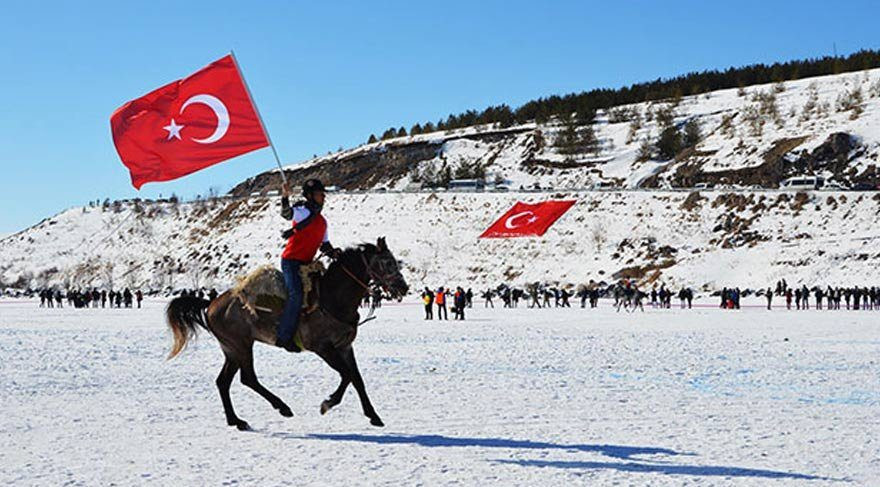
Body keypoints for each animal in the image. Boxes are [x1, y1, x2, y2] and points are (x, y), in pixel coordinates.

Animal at [163, 238, 408, 432]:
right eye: (387, 262)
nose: (403, 288)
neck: (332, 299)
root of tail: (212, 303)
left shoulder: (345, 346)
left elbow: (357, 379)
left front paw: (373, 416)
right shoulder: (323, 348)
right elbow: (346, 375)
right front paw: (327, 403)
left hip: (231, 349)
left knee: (223, 382)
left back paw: (237, 420)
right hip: (241, 345)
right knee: (247, 378)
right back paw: (282, 407)